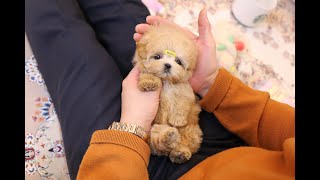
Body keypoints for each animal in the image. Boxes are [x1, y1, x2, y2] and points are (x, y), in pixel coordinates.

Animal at [132, 22, 202, 163]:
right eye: (157, 57)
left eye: (178, 62)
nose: (168, 65)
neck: (167, 81)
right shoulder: (146, 72)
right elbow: (148, 74)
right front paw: (149, 83)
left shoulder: (186, 92)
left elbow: (182, 104)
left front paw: (177, 120)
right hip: (154, 130)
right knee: (158, 143)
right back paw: (168, 136)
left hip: (192, 131)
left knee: (185, 143)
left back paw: (180, 153)